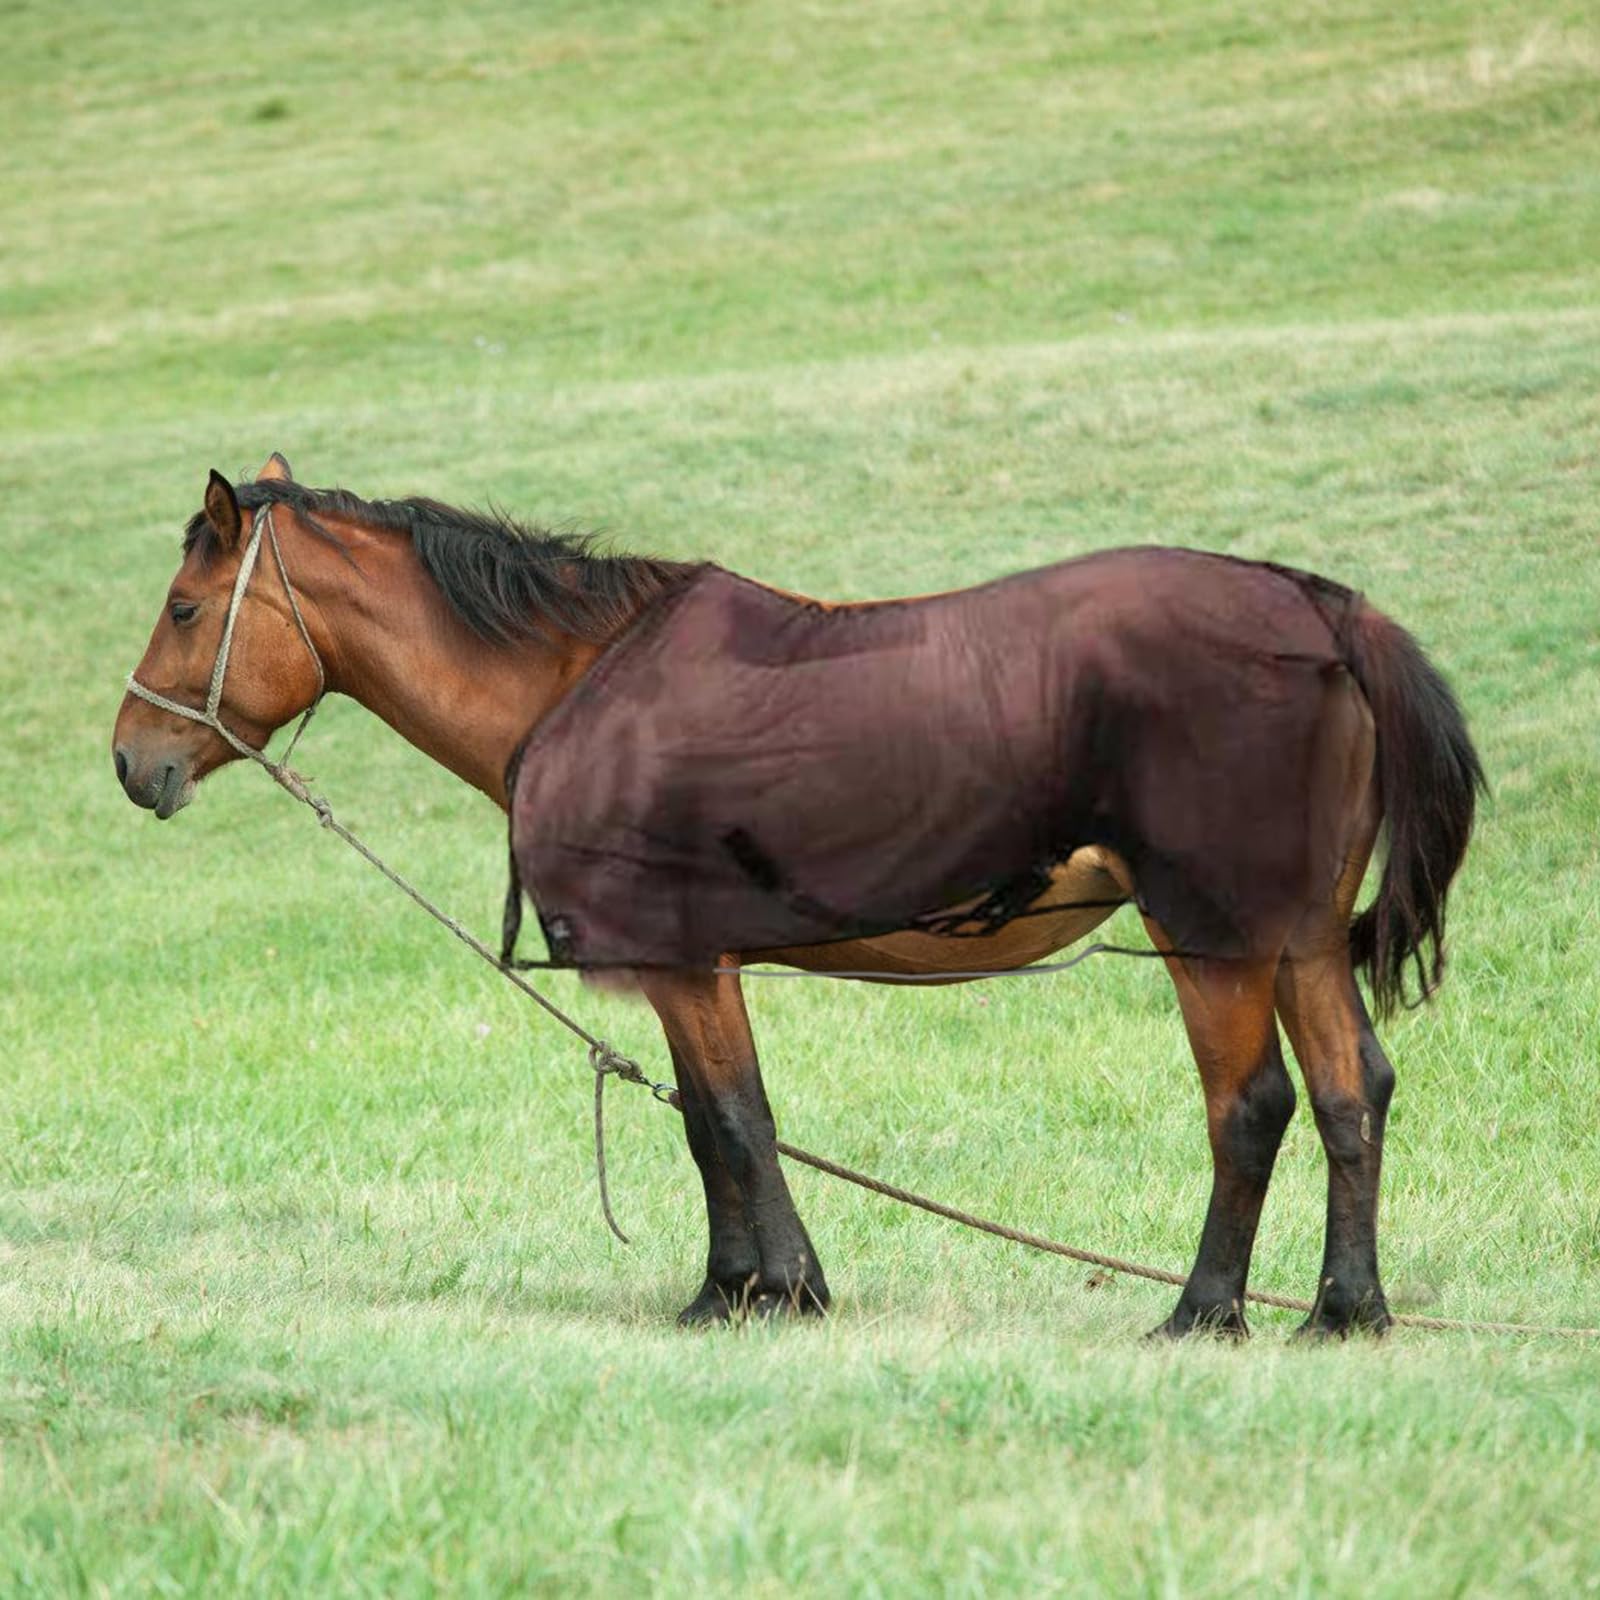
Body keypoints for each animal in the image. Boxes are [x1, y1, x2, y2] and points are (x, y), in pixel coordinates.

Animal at [112, 456, 1483, 1338]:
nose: (135, 762)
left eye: (184, 607)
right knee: (1351, 1092)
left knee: (1250, 1107)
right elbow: (711, 1118)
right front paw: (731, 1287)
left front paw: (775, 1291)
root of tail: (1315, 605)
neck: (577, 679)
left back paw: (1203, 1312)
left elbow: (730, 1120)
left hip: (1212, 932)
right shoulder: (693, 966)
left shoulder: (679, 960)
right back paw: (1341, 1312)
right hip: (1296, 936)